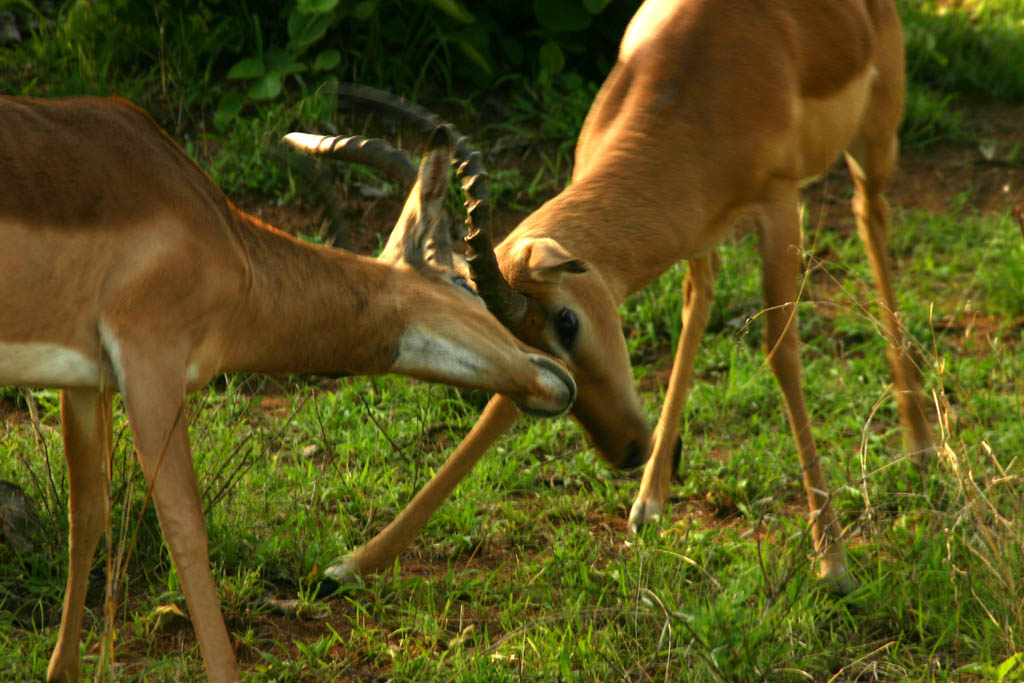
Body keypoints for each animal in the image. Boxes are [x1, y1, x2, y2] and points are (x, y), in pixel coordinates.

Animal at [0, 95, 578, 683]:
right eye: (464, 280)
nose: (556, 374)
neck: (227, 245)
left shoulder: (84, 382)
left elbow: (87, 514)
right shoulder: (150, 363)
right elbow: (185, 530)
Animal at [294, 0, 935, 590]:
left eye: (567, 322)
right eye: (516, 337)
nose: (625, 449)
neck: (692, 93)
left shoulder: (780, 207)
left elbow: (782, 354)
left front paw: (835, 564)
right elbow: (504, 405)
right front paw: (354, 563)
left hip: (873, 142)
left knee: (871, 220)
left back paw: (922, 447)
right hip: (701, 235)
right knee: (699, 297)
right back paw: (650, 500)